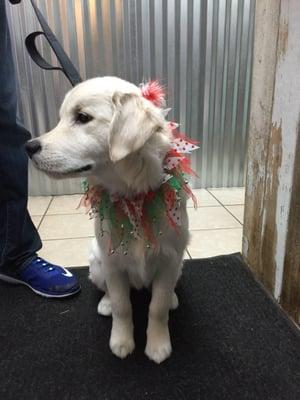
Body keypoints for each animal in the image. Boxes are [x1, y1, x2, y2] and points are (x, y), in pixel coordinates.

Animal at [26, 76, 190, 364]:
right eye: (60, 118)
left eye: (82, 117)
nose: (29, 147)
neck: (134, 196)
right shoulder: (113, 263)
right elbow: (122, 306)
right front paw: (121, 342)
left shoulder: (170, 259)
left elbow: (157, 307)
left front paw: (158, 345)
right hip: (96, 263)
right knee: (109, 293)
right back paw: (105, 304)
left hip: (178, 267)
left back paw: (171, 298)